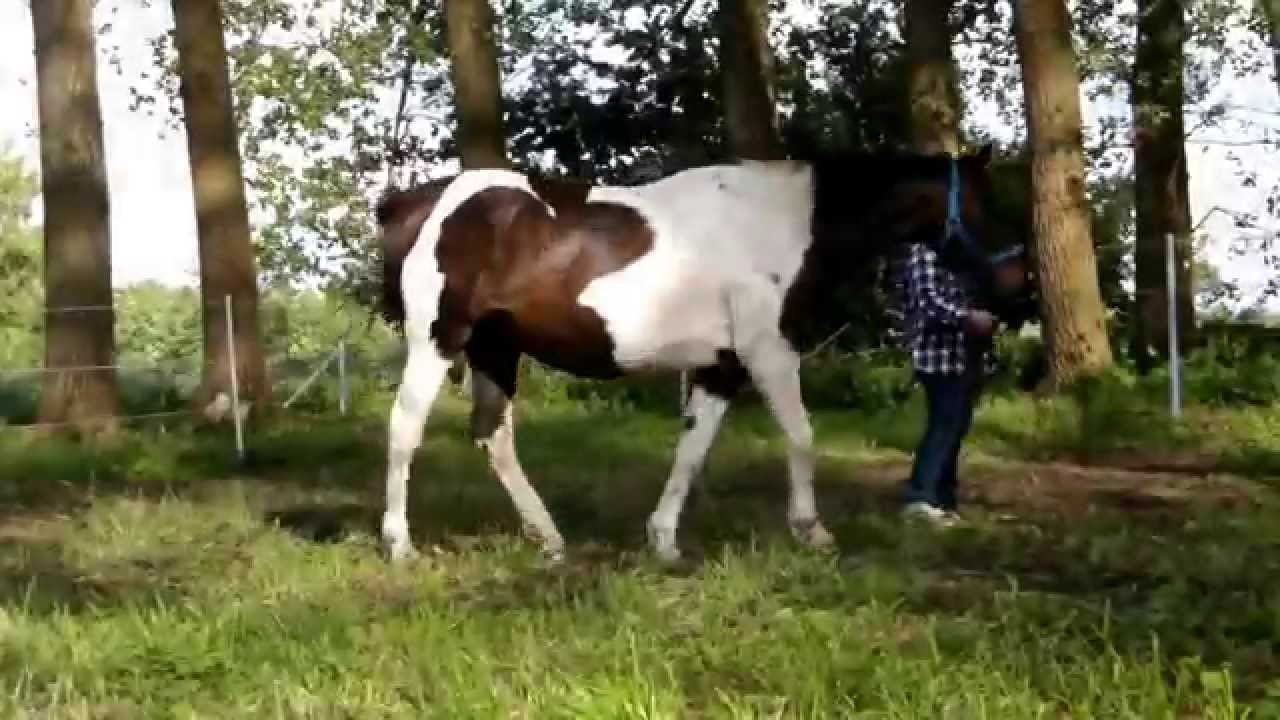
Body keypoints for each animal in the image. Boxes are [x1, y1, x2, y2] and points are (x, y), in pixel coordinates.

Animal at [374, 146, 1022, 564]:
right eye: (988, 203)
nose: (1018, 282)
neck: (784, 225)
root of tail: (414, 203)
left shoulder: (721, 366)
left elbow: (692, 448)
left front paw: (663, 540)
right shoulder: (768, 351)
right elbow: (801, 437)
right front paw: (812, 531)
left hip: (495, 348)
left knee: (493, 436)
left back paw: (549, 538)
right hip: (439, 339)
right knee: (405, 428)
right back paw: (401, 544)